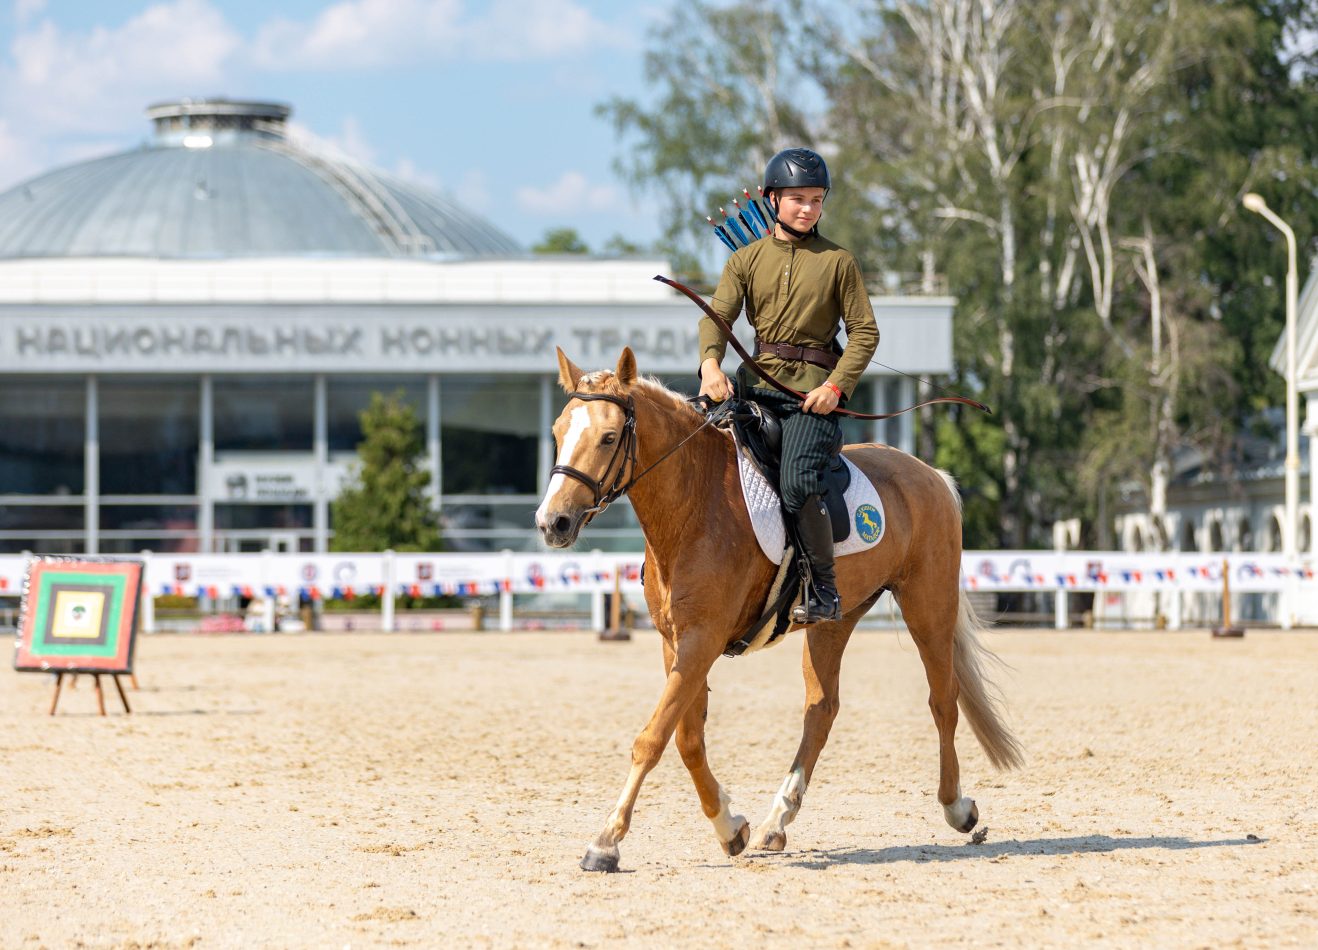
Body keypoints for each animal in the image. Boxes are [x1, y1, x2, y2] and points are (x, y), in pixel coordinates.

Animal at [535, 345, 1028, 869]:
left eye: (609, 437)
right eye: (558, 433)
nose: (553, 522)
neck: (695, 504)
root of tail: (931, 474)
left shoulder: (701, 641)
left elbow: (653, 739)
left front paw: (606, 841)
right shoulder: (676, 643)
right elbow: (687, 739)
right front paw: (730, 827)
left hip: (928, 604)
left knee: (943, 700)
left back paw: (958, 808)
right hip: (834, 621)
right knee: (822, 709)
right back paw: (777, 820)